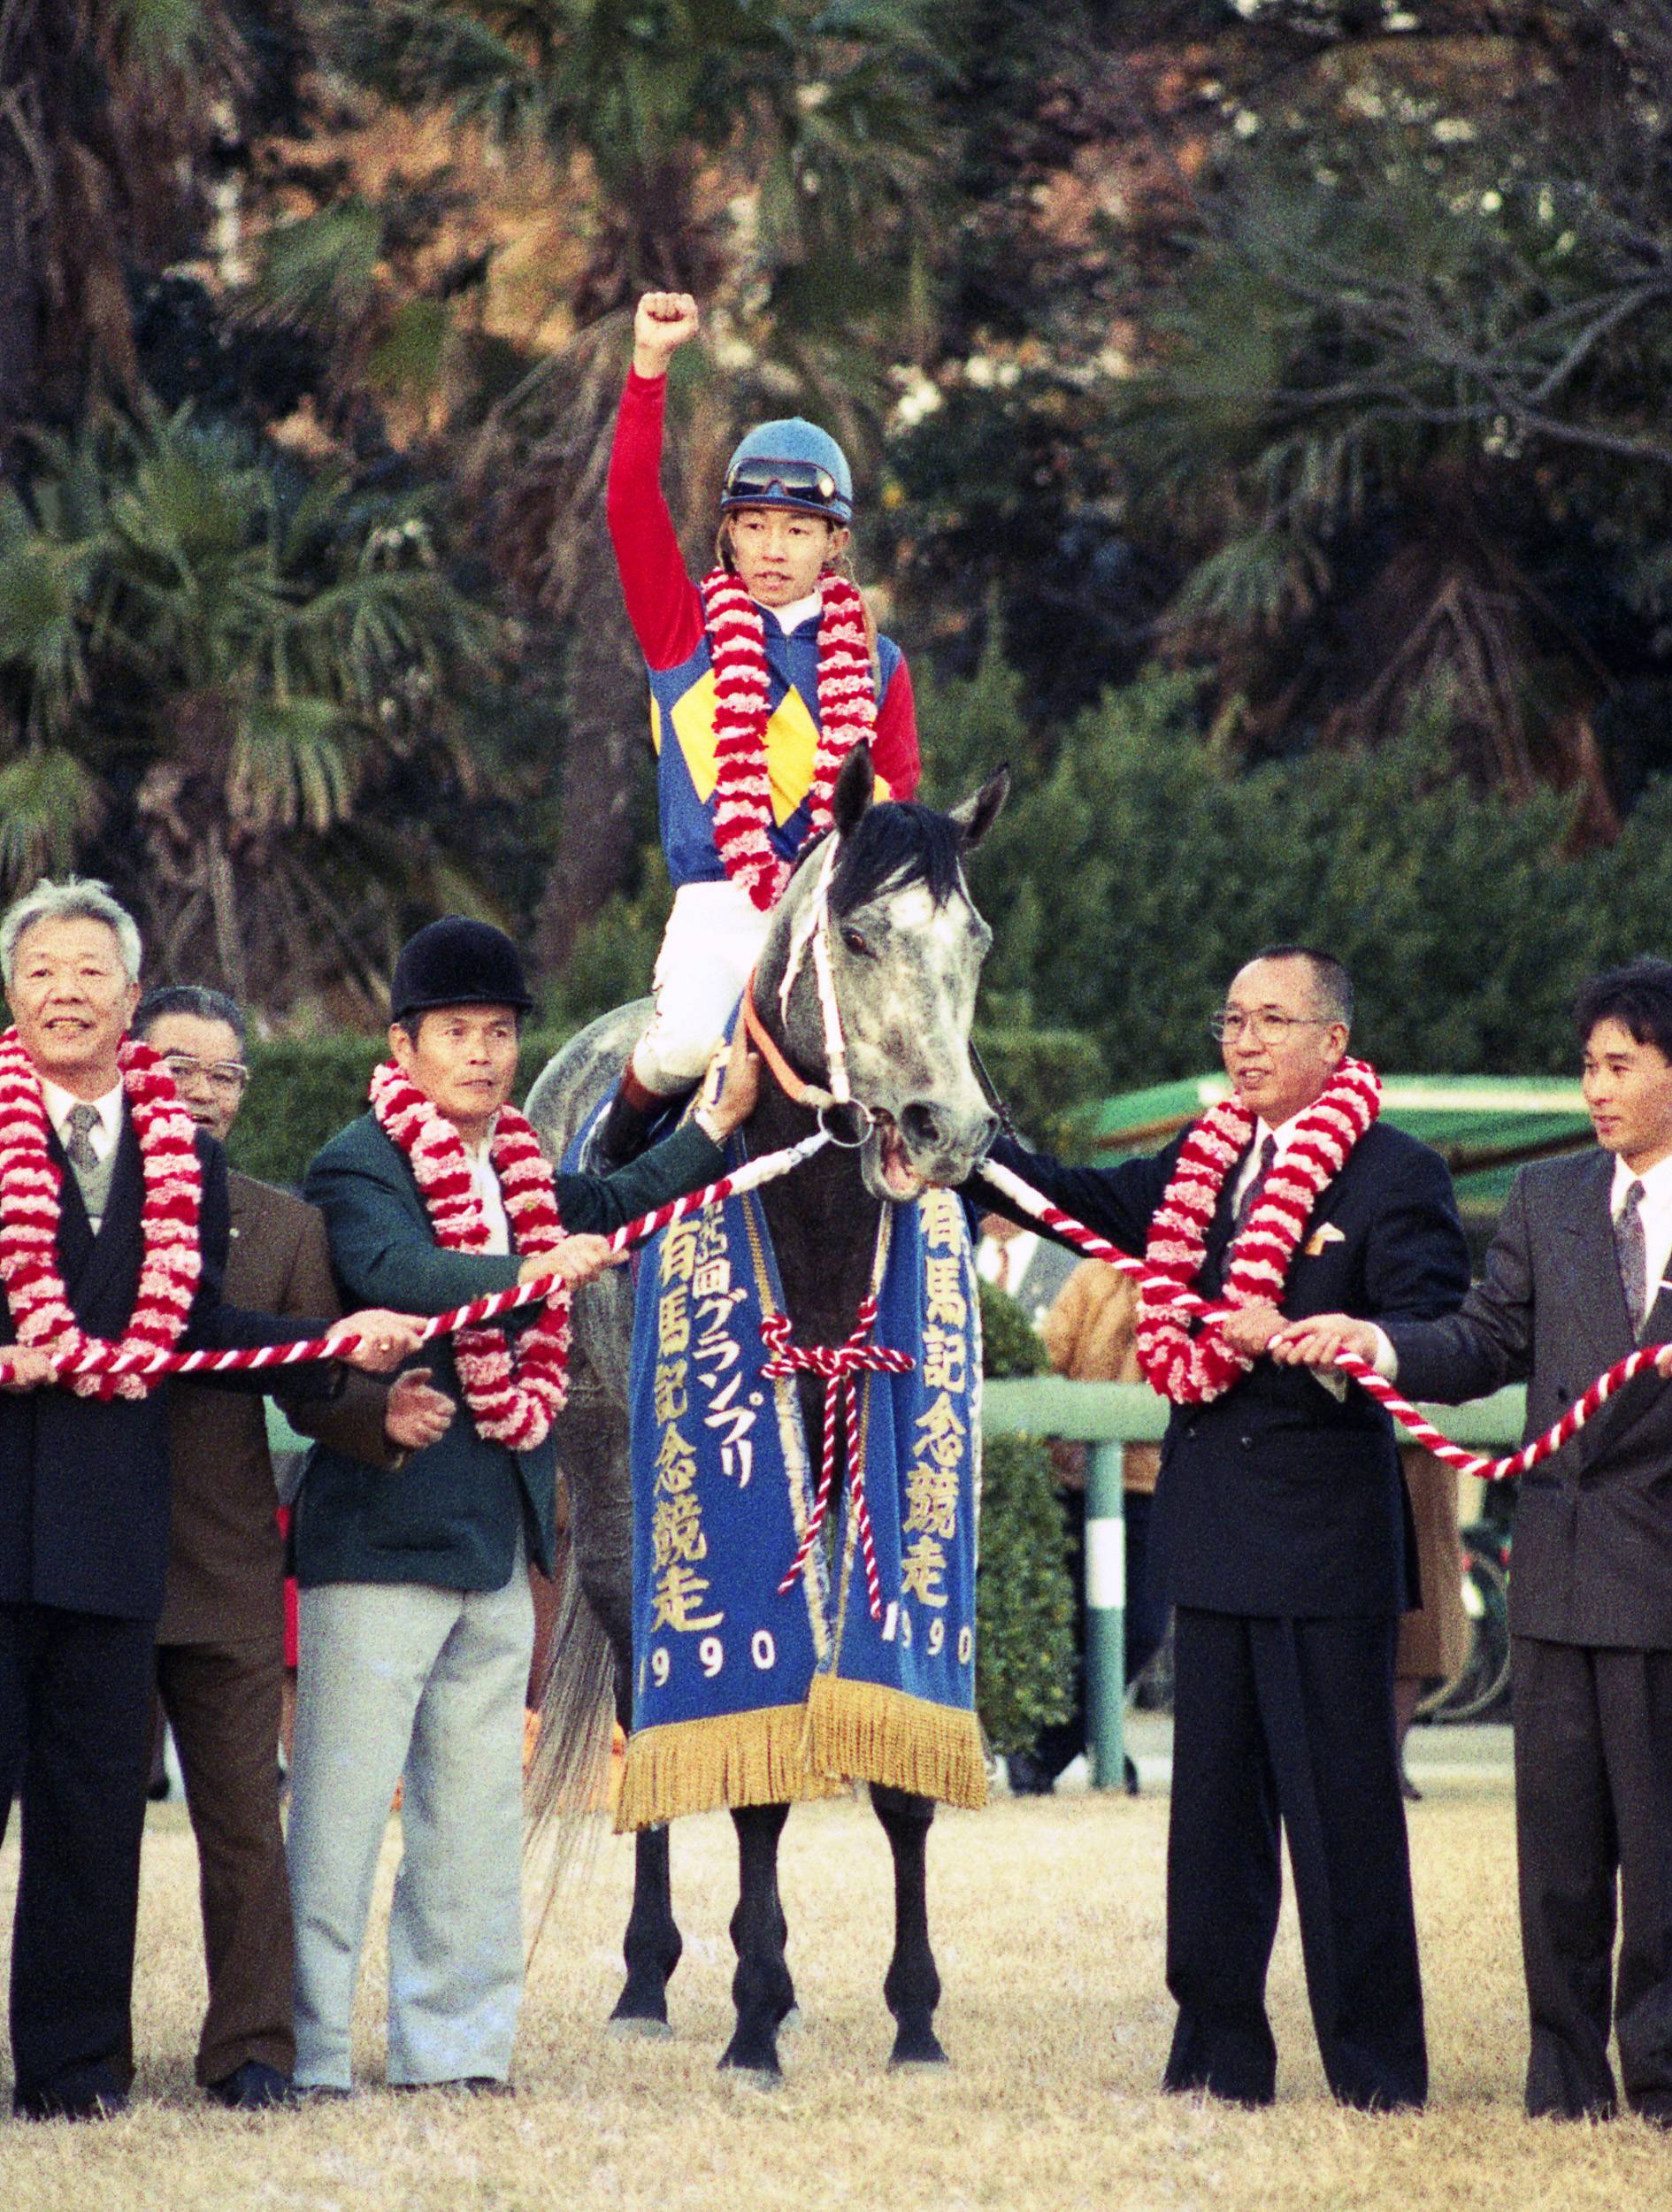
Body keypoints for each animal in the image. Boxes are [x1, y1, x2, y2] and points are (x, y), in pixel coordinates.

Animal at [526, 743, 1004, 2070]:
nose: (951, 1131)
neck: (816, 1215)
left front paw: (915, 2015)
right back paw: (649, 1980)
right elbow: (754, 1771)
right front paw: (749, 2015)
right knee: (641, 1691)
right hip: (610, 1465)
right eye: (857, 934)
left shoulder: (872, 1477)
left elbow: (890, 1748)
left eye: (976, 939)